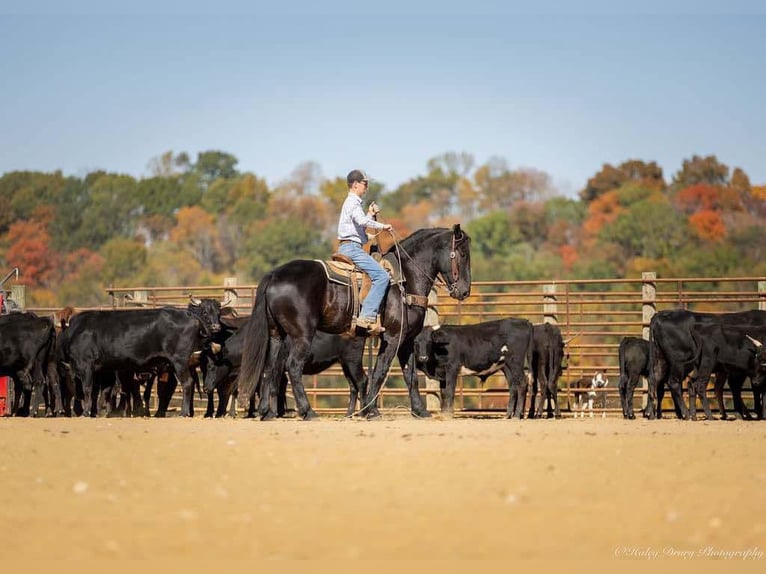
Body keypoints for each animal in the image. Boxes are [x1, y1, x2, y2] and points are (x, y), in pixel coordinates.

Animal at [56, 308, 219, 420]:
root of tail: (187, 314)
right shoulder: (104, 370)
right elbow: (103, 391)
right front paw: (101, 412)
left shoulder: (86, 364)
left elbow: (88, 389)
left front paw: (86, 412)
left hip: (179, 361)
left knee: (187, 383)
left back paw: (183, 412)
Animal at [240, 227, 472, 420]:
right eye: (462, 254)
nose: (464, 291)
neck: (405, 280)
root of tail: (274, 275)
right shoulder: (393, 337)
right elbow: (379, 371)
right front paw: (371, 411)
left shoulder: (406, 340)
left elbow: (410, 375)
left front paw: (419, 411)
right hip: (301, 335)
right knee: (294, 367)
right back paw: (308, 412)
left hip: (276, 334)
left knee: (269, 368)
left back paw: (266, 412)